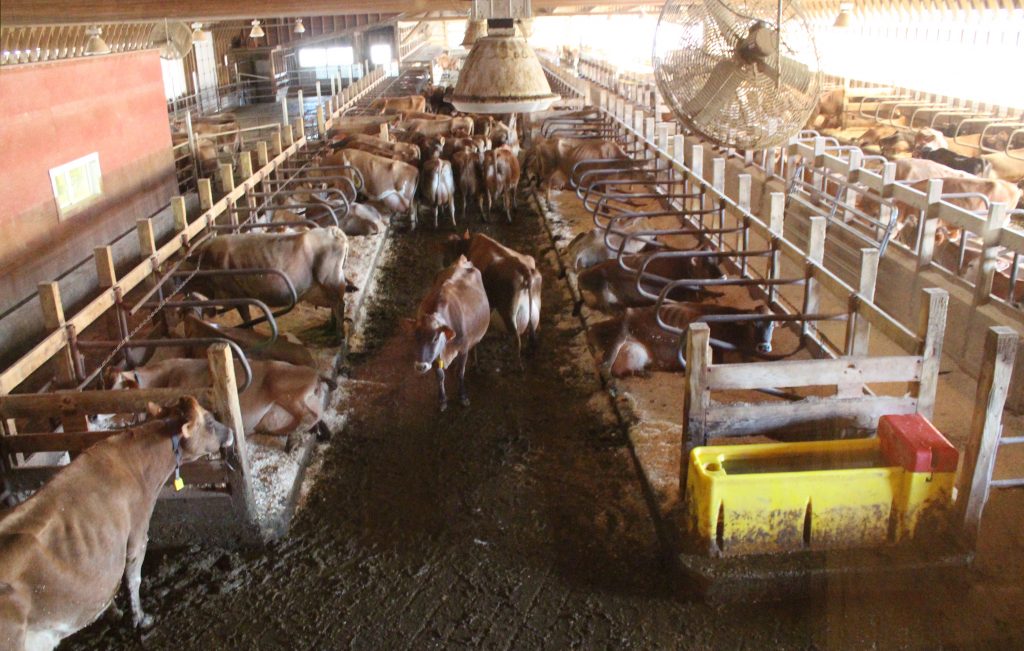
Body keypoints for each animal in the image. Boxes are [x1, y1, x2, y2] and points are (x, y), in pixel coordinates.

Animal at [0, 397, 234, 646]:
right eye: (209, 421)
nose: (231, 432)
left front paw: (112, 612)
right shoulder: (137, 534)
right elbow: (133, 579)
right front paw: (140, 619)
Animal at [405, 255, 489, 411]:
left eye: (435, 338)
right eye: (415, 337)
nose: (420, 366)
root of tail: (460, 261)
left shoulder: (463, 349)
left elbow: (460, 373)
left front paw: (463, 396)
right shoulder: (435, 355)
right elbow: (439, 376)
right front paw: (442, 400)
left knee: (475, 344)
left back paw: (475, 363)